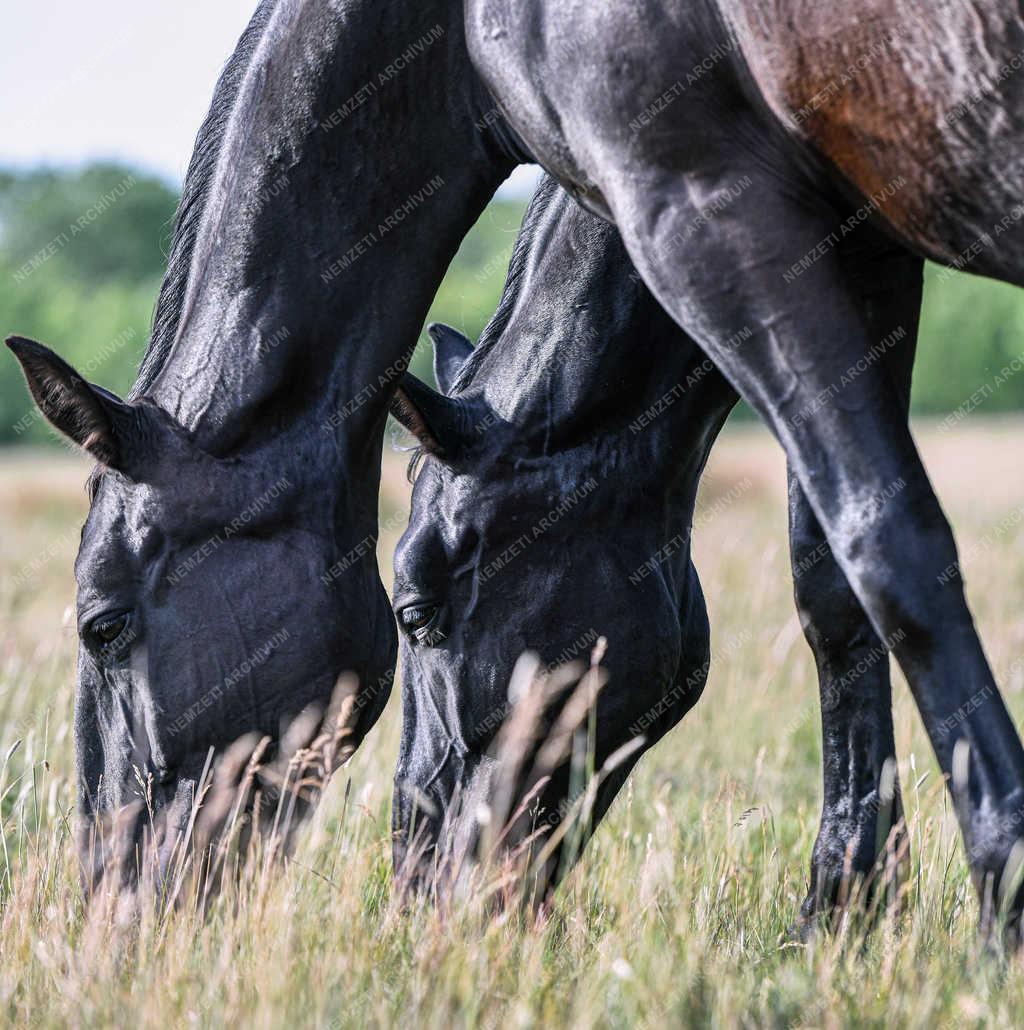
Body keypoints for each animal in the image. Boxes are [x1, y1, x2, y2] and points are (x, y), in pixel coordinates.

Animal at [465, 0, 1024, 931]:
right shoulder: (867, 251)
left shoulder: (713, 217)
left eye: (418, 606)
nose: (424, 881)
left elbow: (887, 552)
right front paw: (847, 904)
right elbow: (829, 583)